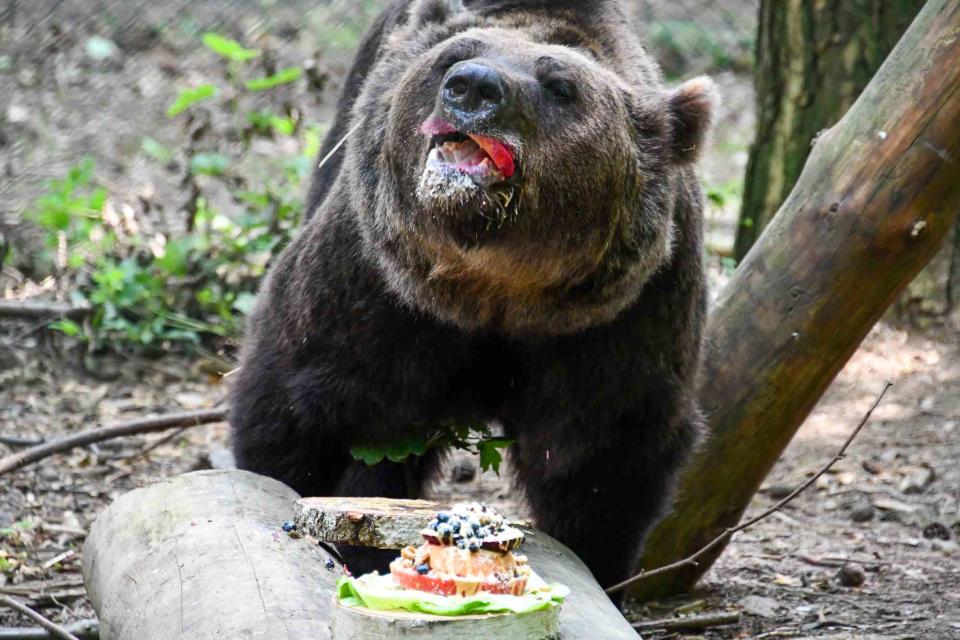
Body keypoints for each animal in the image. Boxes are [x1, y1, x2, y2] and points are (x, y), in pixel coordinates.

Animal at [231, 0, 712, 596]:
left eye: (561, 86)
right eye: (453, 58)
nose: (475, 86)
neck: (493, 291)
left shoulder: (620, 320)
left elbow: (601, 459)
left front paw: (600, 566)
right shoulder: (374, 292)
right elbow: (298, 405)